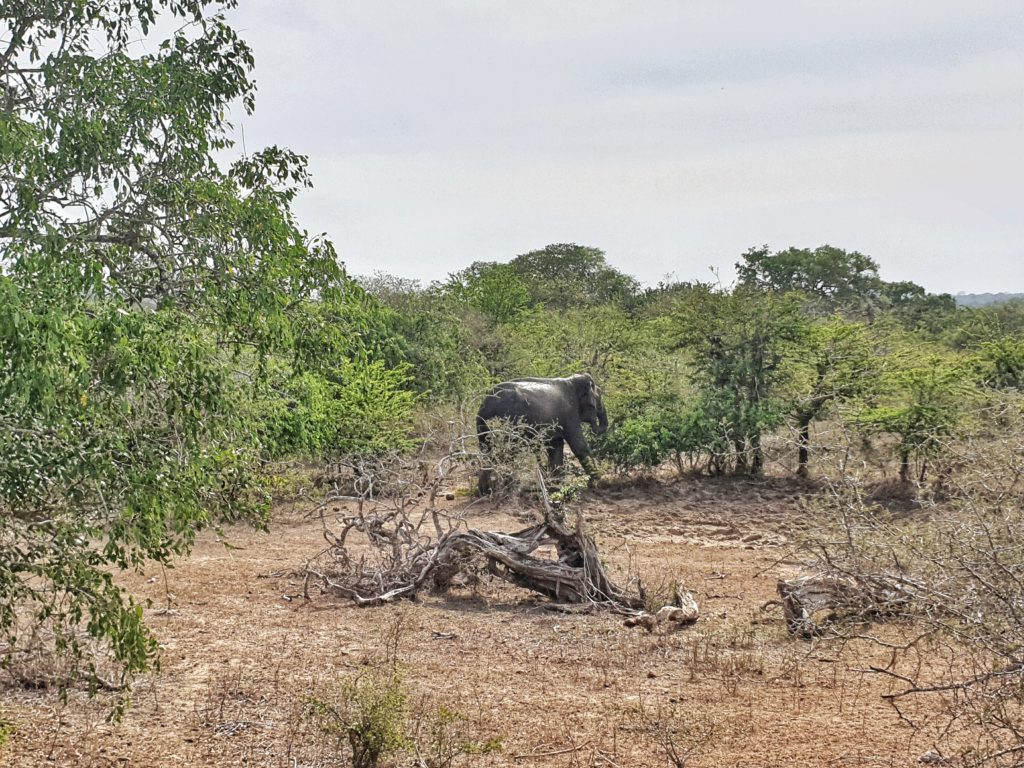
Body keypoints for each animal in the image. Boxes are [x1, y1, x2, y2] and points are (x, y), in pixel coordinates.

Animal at [477, 376, 610, 495]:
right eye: (598, 398)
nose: (593, 421)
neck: (573, 380)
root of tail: (487, 402)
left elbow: (556, 447)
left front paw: (555, 487)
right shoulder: (570, 415)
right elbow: (579, 446)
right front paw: (595, 483)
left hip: (483, 426)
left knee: (486, 452)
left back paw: (485, 491)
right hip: (508, 424)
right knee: (508, 452)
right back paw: (508, 489)